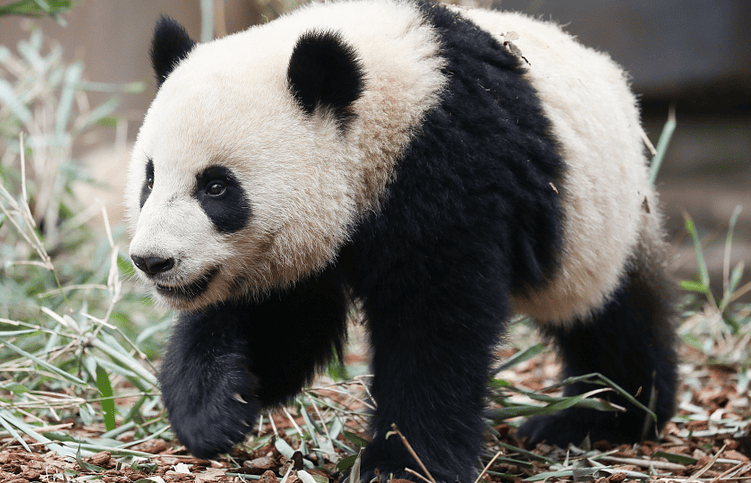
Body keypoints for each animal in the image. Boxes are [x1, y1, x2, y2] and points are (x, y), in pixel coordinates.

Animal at [128, 0, 680, 480]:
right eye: (150, 179)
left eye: (217, 187)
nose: (151, 261)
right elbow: (284, 319)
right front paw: (213, 411)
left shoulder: (453, 164)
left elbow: (435, 324)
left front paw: (403, 463)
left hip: (603, 222)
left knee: (610, 320)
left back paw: (607, 415)